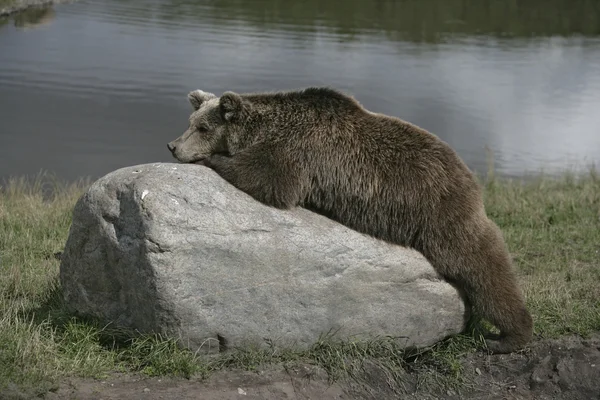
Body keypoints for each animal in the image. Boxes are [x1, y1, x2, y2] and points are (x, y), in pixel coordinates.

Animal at [166, 86, 532, 352]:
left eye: (203, 127)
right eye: (190, 120)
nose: (173, 146)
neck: (265, 127)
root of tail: (469, 177)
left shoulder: (298, 151)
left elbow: (269, 179)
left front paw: (212, 160)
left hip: (440, 213)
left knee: (481, 265)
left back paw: (507, 336)